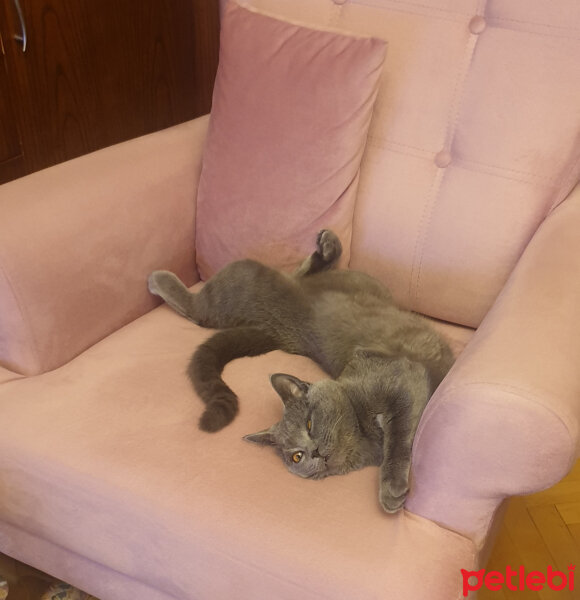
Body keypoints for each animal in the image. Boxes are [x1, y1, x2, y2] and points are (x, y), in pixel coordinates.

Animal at [148, 230, 454, 510]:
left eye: (309, 423)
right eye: (296, 456)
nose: (314, 451)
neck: (364, 435)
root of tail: (273, 330)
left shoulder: (402, 377)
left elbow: (400, 434)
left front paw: (391, 488)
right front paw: (391, 490)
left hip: (249, 275)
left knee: (202, 310)